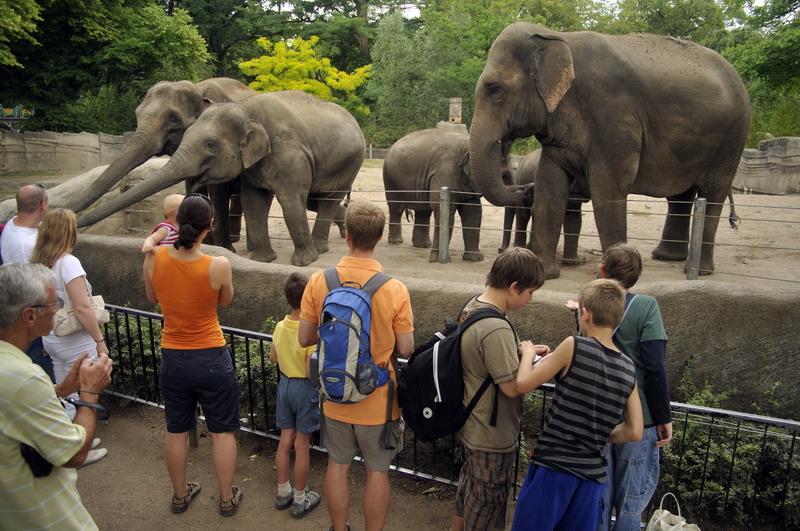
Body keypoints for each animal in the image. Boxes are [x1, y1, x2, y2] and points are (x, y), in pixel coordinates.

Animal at [77, 91, 365, 266]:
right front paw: (261, 261)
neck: (247, 108)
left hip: (348, 164)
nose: (74, 220)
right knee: (317, 200)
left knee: (326, 199)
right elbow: (253, 202)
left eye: (210, 145)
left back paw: (319, 250)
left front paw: (303, 263)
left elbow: (291, 199)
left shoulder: (289, 153)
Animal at [383, 128, 484, 263]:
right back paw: (397, 242)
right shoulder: (443, 174)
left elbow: (473, 212)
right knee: (396, 208)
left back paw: (423, 245)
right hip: (389, 179)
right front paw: (438, 260)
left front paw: (475, 259)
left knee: (423, 210)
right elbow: (444, 209)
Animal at [469, 22, 751, 278]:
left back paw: (698, 270)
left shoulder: (613, 113)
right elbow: (551, 184)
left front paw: (615, 276)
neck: (556, 36)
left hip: (733, 137)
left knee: (713, 194)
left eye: (494, 89)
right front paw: (544, 273)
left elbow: (608, 185)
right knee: (680, 196)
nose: (524, 189)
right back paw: (667, 257)